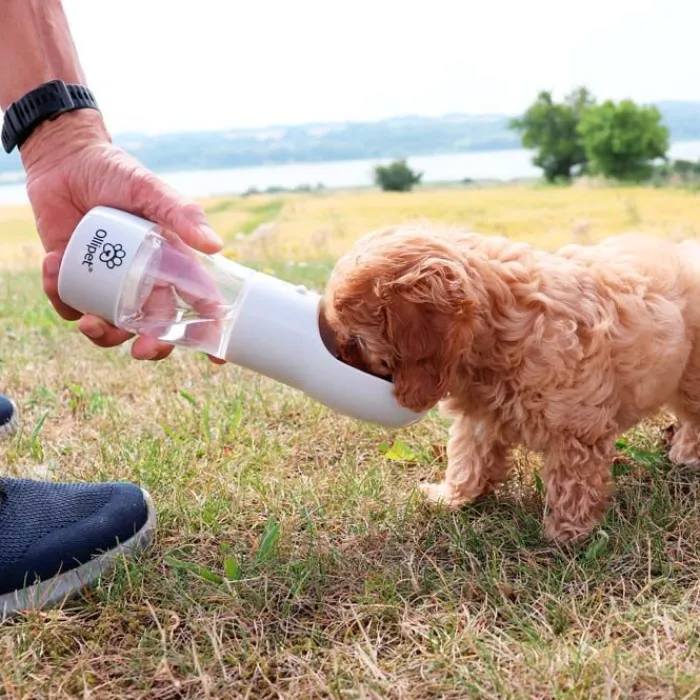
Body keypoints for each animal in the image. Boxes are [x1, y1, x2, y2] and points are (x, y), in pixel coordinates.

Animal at [322, 224, 700, 540]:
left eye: (354, 342)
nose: (337, 357)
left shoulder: (577, 426)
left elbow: (573, 478)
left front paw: (566, 531)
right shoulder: (480, 415)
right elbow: (467, 456)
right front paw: (452, 498)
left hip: (691, 377)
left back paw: (687, 453)